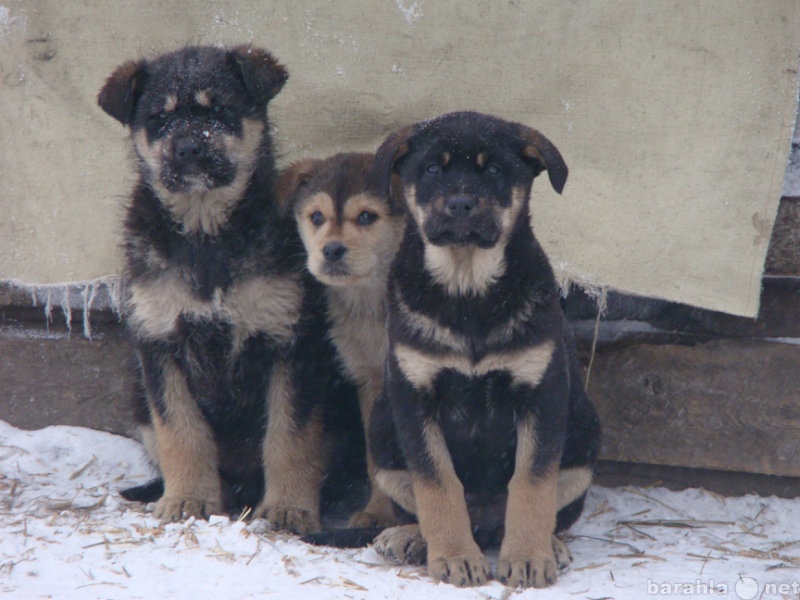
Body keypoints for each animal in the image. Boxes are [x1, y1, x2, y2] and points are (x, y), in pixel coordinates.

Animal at [97, 47, 338, 536]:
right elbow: (181, 431)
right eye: (159, 117)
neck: (206, 230)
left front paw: (289, 508)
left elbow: (291, 436)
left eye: (221, 110)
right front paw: (187, 500)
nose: (189, 147)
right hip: (136, 394)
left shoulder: (291, 340)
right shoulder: (159, 342)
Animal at [282, 152, 406, 528]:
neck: (372, 304)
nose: (332, 250)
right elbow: (376, 459)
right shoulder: (371, 381)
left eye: (366, 216)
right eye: (316, 217)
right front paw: (378, 513)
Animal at [368, 111, 600, 584]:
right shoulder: (413, 396)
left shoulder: (542, 394)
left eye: (493, 170)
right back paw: (411, 537)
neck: (467, 286)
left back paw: (549, 544)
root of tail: (486, 522)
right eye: (432, 168)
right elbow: (437, 484)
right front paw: (455, 557)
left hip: (585, 431)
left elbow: (532, 483)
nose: (460, 205)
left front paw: (528, 557)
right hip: (380, 426)